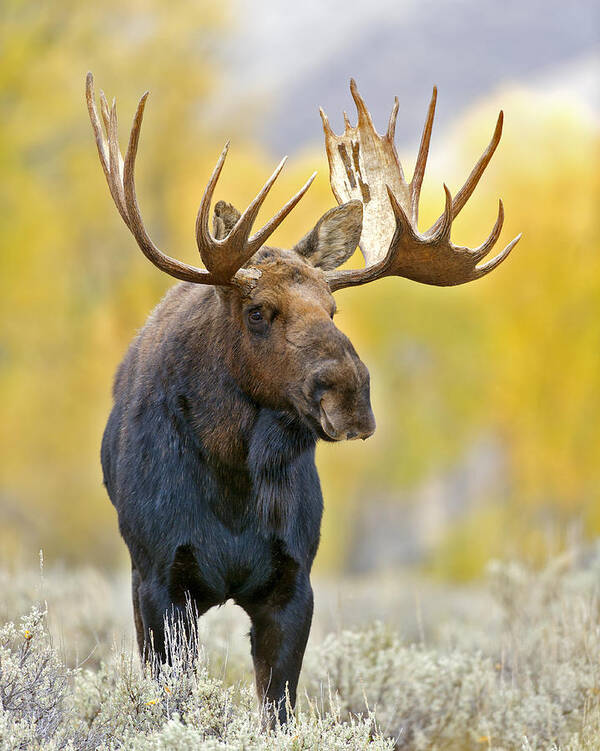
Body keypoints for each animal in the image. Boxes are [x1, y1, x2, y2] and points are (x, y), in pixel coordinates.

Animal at [85, 73, 520, 724]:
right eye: (258, 310)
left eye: (333, 308)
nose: (352, 395)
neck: (233, 482)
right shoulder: (158, 577)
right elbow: (172, 698)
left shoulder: (295, 582)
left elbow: (278, 708)